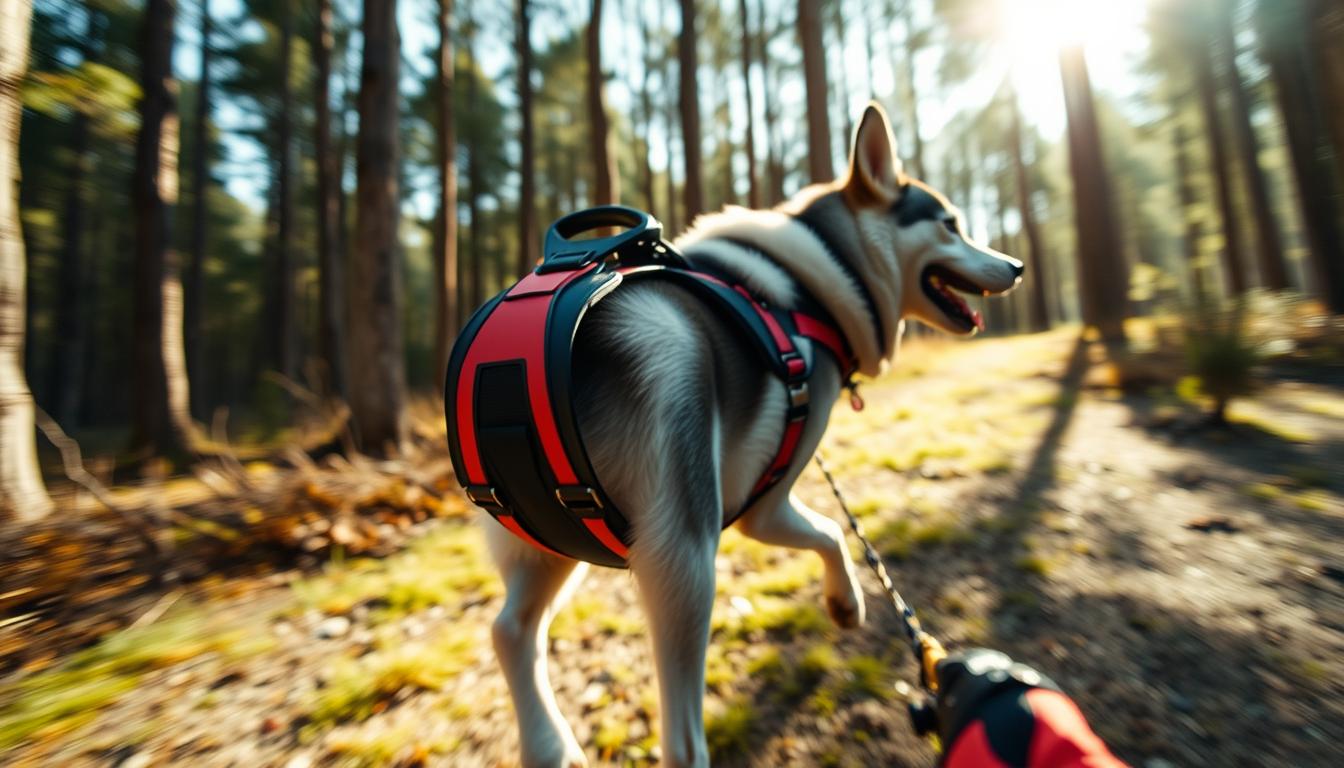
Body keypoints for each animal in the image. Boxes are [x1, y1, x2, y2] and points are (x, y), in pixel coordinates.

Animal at [489, 103, 1021, 768]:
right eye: (951, 225)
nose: (1017, 266)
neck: (827, 275)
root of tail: (509, 375)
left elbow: (829, 532)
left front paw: (843, 600)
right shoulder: (762, 506)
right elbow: (833, 531)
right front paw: (847, 600)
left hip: (553, 545)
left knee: (510, 631)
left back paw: (548, 743)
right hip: (685, 562)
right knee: (681, 738)